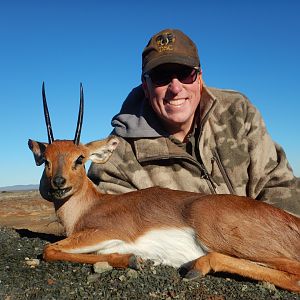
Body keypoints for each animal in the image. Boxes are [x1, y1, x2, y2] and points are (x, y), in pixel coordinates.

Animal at [28, 83, 300, 292]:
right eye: (47, 161)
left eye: (80, 159)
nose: (59, 183)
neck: (89, 207)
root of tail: (292, 222)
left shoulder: (105, 232)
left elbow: (49, 249)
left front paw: (131, 259)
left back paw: (195, 266)